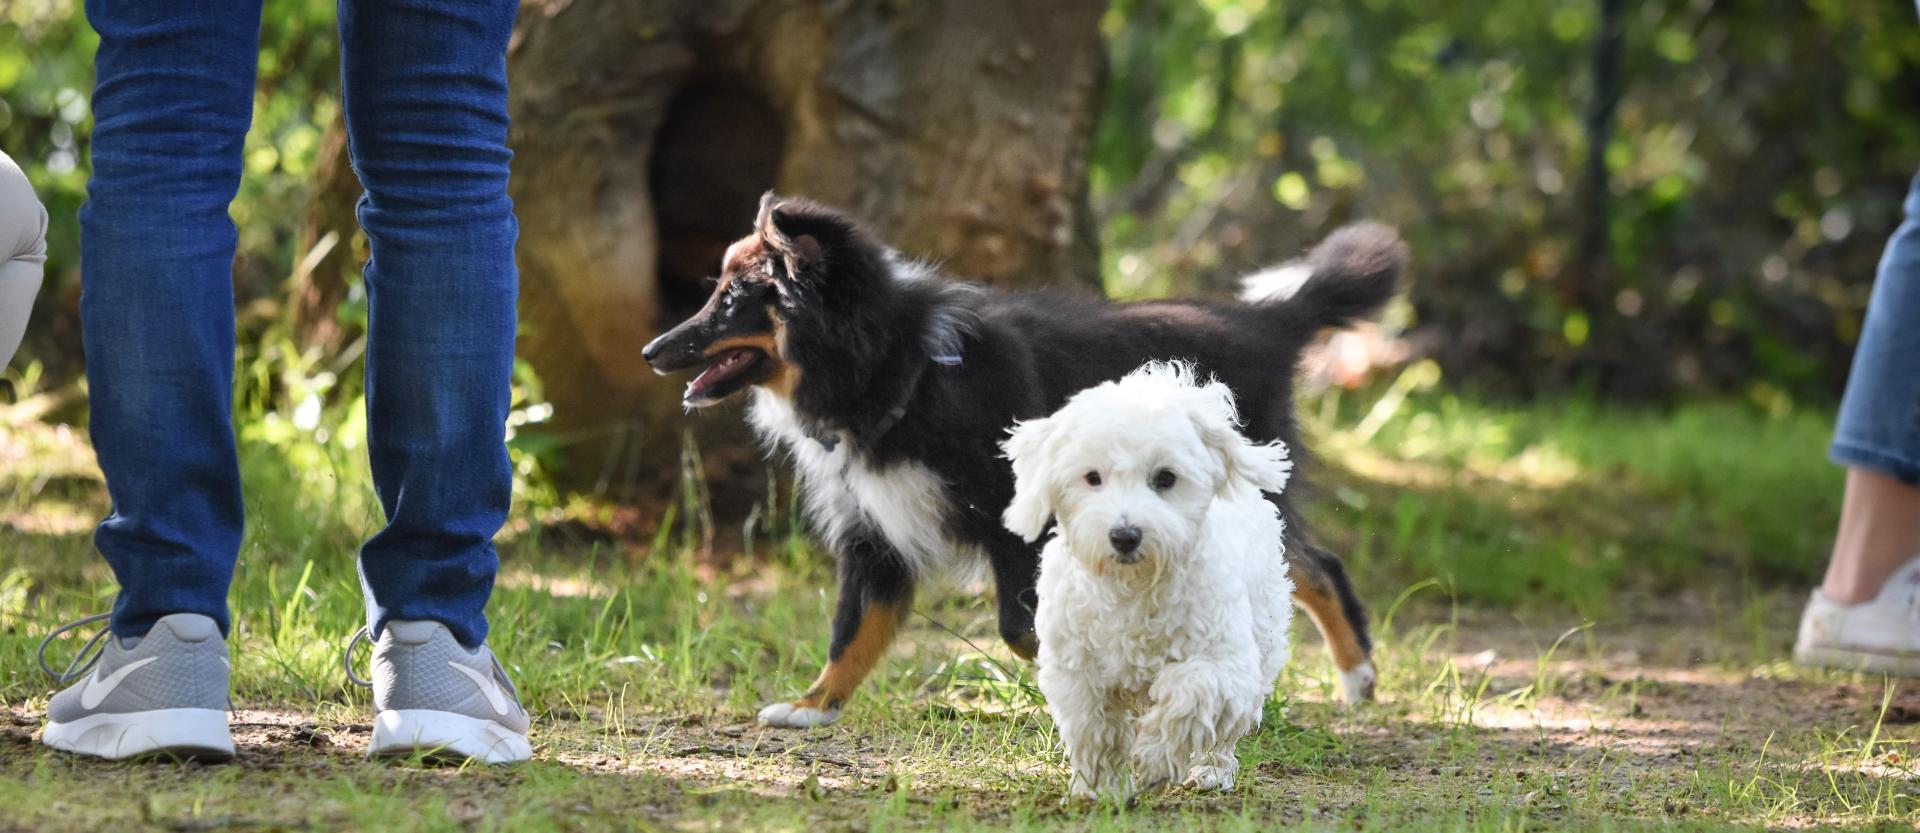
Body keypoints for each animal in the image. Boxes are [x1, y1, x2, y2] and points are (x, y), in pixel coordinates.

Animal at [637, 194, 1405, 729]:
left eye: (732, 299)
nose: (650, 351)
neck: (902, 371)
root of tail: (1271, 322)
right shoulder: (876, 533)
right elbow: (853, 629)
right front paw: (811, 706)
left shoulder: (1017, 523)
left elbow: (1021, 626)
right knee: (1313, 567)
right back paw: (1355, 679)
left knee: (1306, 569)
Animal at [1006, 360, 1290, 798]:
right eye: (1092, 477)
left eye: (1166, 478)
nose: (1125, 535)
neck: (1133, 586)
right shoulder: (1078, 671)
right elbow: (1096, 729)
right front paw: (1100, 787)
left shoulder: (1223, 665)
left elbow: (1187, 697)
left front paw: (1153, 760)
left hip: (1261, 643)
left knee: (1227, 730)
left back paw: (1212, 771)